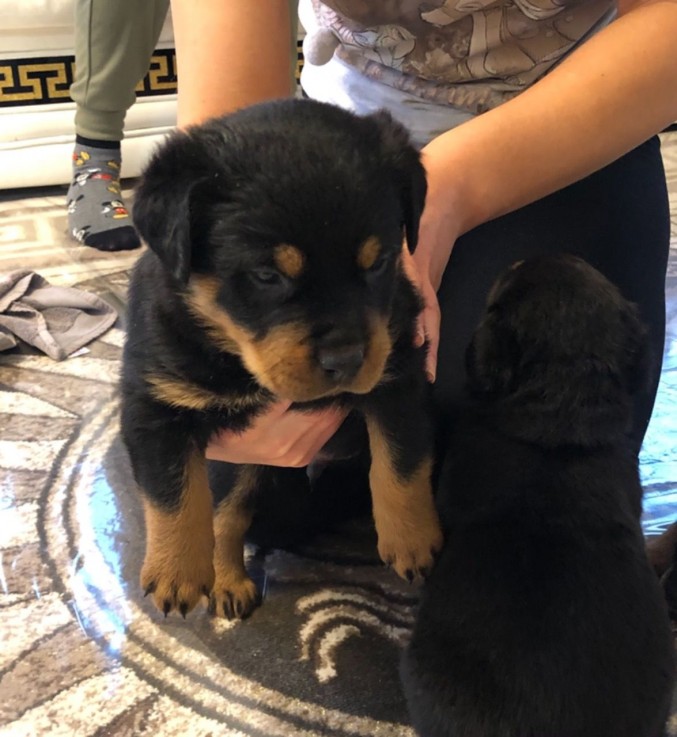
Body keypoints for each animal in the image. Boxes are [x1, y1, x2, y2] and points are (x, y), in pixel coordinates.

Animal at [120, 98, 444, 616]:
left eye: (378, 262)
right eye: (267, 276)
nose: (346, 359)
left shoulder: (401, 373)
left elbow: (401, 462)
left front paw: (412, 540)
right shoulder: (154, 404)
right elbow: (173, 493)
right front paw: (176, 573)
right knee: (227, 512)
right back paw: (228, 581)